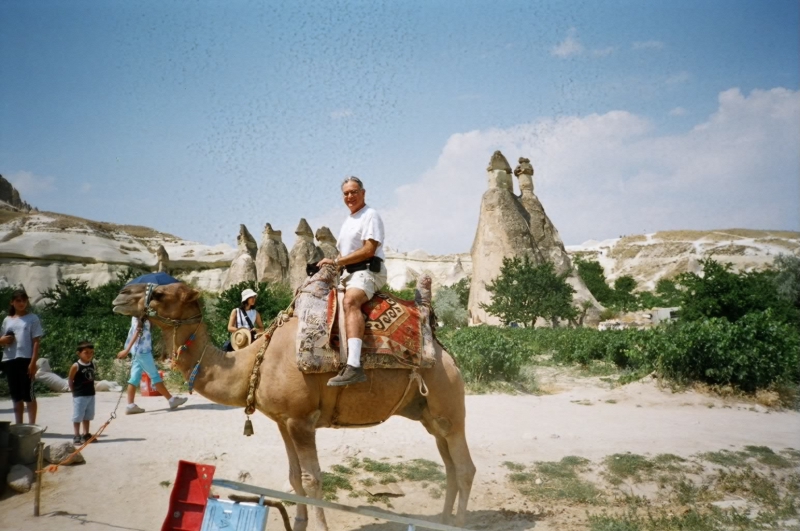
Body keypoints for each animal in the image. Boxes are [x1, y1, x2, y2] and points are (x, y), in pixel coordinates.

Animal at [112, 280, 476, 528]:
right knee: (449, 465)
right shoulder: (282, 420)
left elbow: (313, 478)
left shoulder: (302, 421)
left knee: (465, 467)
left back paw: (457, 523)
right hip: (429, 415)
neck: (254, 363)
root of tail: (446, 353)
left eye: (161, 293)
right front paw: (298, 522)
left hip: (448, 401)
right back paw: (442, 520)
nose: (120, 296)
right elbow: (294, 476)